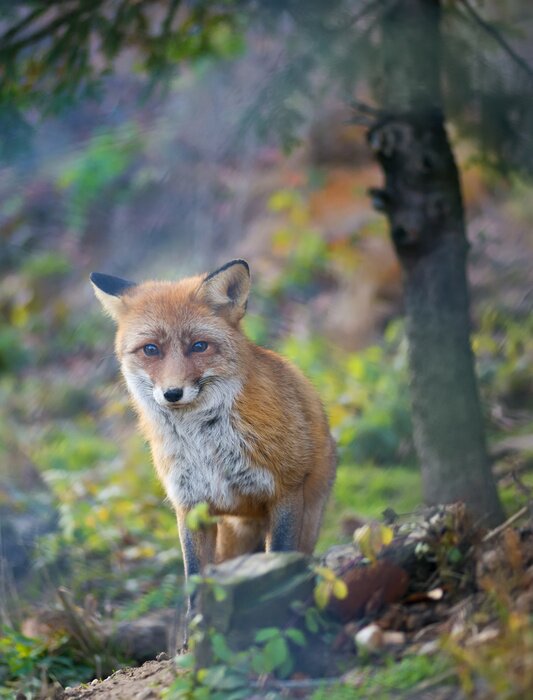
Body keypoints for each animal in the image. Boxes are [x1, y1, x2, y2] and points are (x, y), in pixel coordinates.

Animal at [90, 259, 336, 589]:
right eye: (151, 349)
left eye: (199, 346)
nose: (172, 393)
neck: (205, 446)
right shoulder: (191, 506)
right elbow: (195, 579)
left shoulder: (285, 491)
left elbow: (280, 555)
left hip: (307, 520)